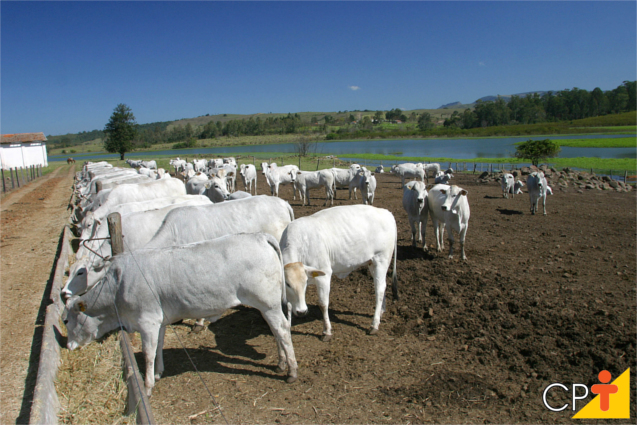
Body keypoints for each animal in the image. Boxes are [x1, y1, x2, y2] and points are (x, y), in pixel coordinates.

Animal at [66, 232, 300, 394]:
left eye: (66, 319)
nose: (68, 346)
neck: (117, 286)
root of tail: (260, 236)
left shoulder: (147, 321)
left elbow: (148, 353)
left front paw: (147, 385)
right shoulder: (159, 321)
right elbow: (159, 346)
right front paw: (158, 372)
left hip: (268, 303)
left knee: (282, 329)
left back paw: (292, 371)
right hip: (267, 305)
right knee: (276, 331)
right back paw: (281, 363)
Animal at [280, 204, 396, 340]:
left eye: (305, 282)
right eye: (287, 284)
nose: (302, 311)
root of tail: (386, 212)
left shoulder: (324, 275)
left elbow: (323, 304)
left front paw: (327, 331)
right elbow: (288, 304)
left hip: (381, 260)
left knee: (379, 290)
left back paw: (374, 324)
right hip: (372, 263)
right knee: (383, 285)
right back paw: (382, 311)